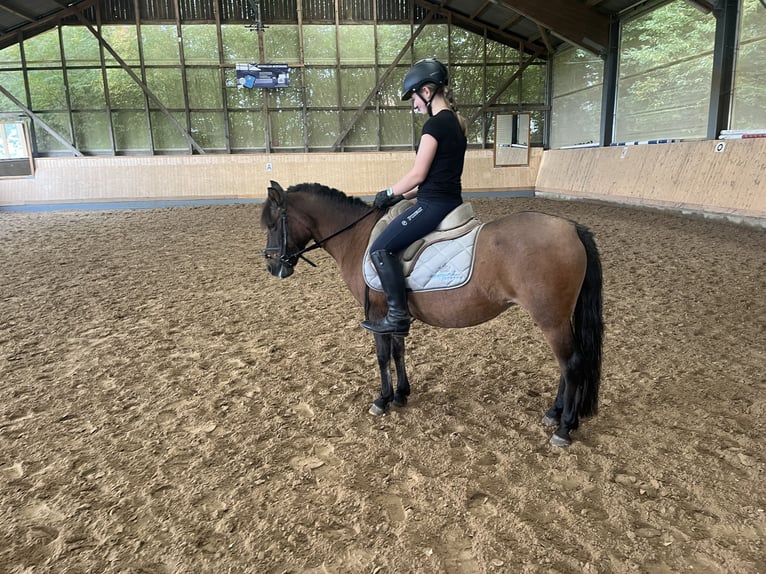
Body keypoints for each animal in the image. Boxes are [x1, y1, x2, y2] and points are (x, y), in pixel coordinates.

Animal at [260, 181, 603, 447]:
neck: (358, 237)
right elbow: (398, 351)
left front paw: (382, 400)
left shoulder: (377, 312)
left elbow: (383, 356)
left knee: (571, 364)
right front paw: (401, 395)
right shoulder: (392, 315)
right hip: (557, 318)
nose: (273, 266)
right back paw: (555, 414)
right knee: (567, 365)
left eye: (273, 224)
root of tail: (571, 227)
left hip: (551, 319)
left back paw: (564, 427)